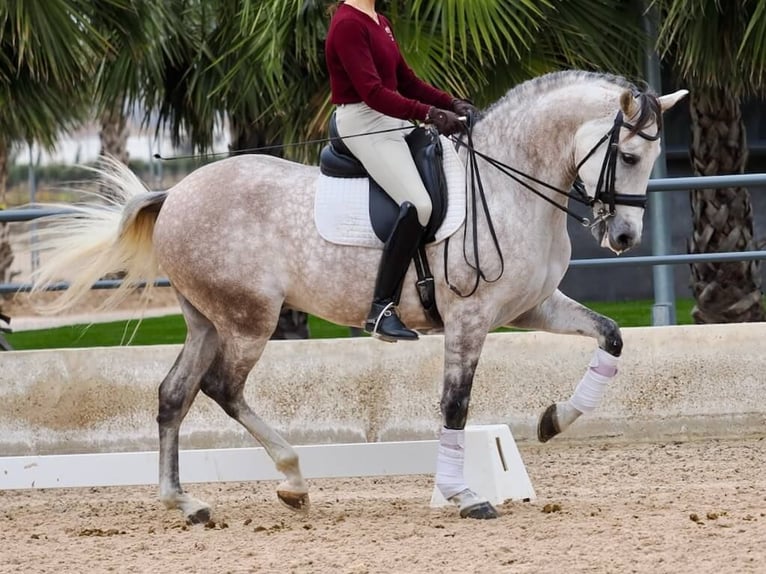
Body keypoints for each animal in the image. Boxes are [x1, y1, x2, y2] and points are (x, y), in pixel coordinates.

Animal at [30, 70, 687, 521]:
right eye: (628, 155)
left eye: (655, 156)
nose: (624, 238)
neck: (508, 184)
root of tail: (177, 194)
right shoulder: (470, 318)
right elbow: (455, 406)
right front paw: (464, 494)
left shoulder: (529, 309)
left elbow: (612, 337)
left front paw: (553, 420)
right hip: (249, 320)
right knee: (222, 389)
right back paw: (292, 480)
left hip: (206, 320)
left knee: (174, 394)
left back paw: (184, 503)